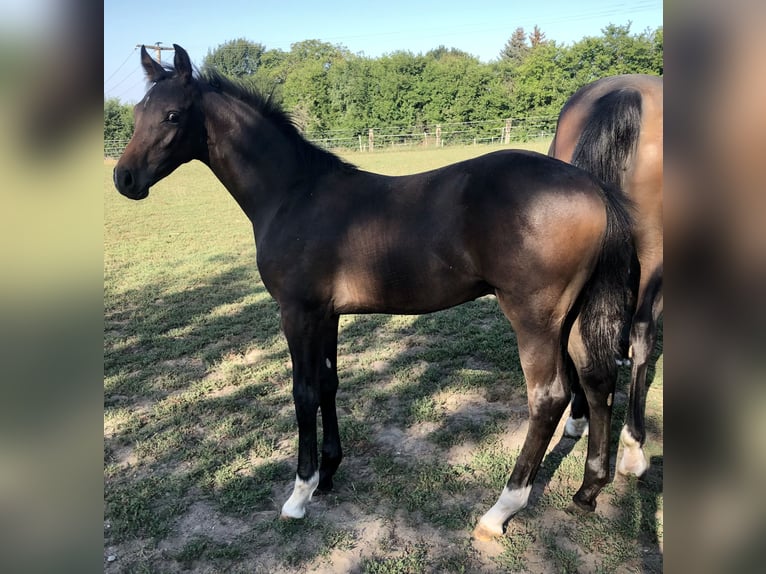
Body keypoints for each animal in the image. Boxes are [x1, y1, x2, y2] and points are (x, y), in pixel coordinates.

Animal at [115, 45, 636, 540]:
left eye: (172, 115)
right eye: (138, 112)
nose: (124, 179)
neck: (294, 195)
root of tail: (593, 185)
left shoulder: (298, 313)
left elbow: (303, 392)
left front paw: (299, 494)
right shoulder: (326, 315)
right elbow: (328, 384)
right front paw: (328, 474)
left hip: (534, 316)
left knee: (548, 397)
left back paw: (499, 511)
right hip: (573, 315)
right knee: (596, 378)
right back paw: (588, 490)